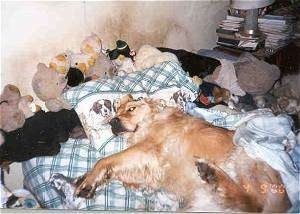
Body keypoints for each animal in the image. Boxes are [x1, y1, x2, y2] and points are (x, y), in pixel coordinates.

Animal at [74, 94, 290, 211]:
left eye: (131, 109)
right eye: (116, 111)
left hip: (243, 160)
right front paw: (87, 179)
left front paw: (89, 181)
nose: (112, 122)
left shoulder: (148, 150)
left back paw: (211, 173)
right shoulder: (150, 167)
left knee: (253, 204)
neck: (151, 120)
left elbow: (104, 161)